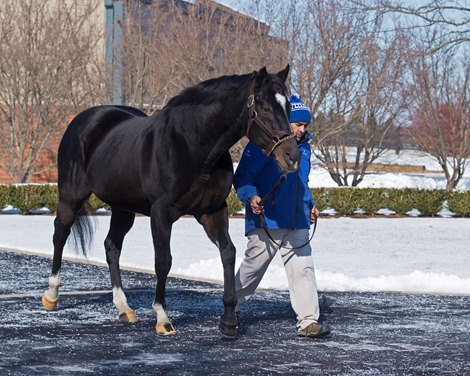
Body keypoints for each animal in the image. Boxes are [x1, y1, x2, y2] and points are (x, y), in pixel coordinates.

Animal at [42, 65, 300, 338]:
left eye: (287, 107)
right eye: (264, 106)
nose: (291, 156)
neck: (192, 145)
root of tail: (83, 119)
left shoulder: (213, 211)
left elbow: (228, 253)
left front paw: (229, 319)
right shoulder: (161, 212)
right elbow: (163, 261)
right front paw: (162, 318)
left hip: (123, 208)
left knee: (112, 246)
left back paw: (124, 307)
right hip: (71, 194)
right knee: (60, 234)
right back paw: (51, 295)